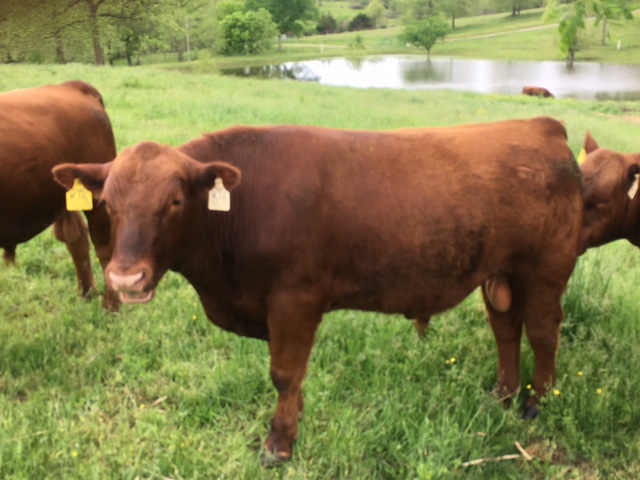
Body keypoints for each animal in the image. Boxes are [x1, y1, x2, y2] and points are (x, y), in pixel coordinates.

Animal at [0, 81, 118, 310]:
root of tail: (70, 85)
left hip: (97, 200)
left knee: (104, 250)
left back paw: (111, 307)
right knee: (77, 239)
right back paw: (87, 294)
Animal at [52, 117, 582, 464]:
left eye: (175, 201)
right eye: (109, 203)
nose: (125, 279)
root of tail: (540, 125)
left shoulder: (295, 299)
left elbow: (285, 373)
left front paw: (279, 443)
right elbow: (294, 378)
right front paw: (296, 421)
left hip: (545, 269)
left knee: (542, 332)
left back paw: (539, 403)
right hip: (501, 273)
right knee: (505, 329)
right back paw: (502, 395)